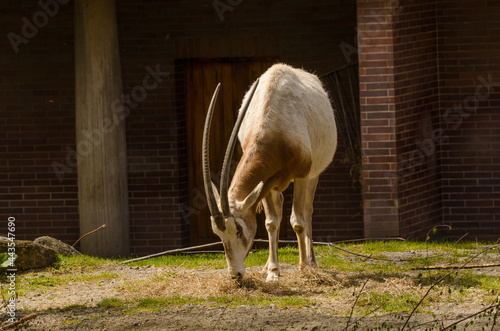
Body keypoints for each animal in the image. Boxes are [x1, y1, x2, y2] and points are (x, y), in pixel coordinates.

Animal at [201, 63, 338, 282]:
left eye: (238, 230)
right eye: (218, 235)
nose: (235, 274)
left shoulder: (301, 176)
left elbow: (298, 222)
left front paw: (303, 267)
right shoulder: (266, 182)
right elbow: (271, 222)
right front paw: (273, 271)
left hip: (313, 174)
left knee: (307, 210)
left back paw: (312, 262)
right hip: (275, 184)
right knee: (279, 209)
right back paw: (268, 265)